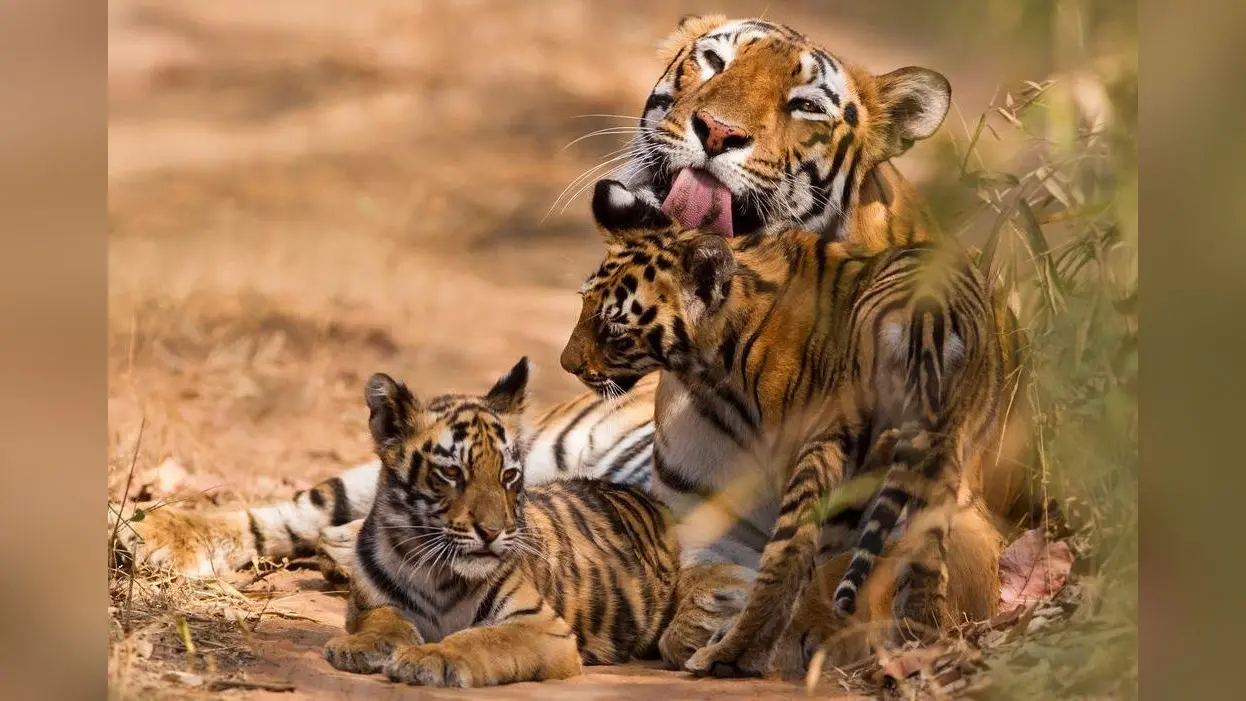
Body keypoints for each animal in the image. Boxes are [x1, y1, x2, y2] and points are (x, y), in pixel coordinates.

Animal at [323, 357, 680, 688]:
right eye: (452, 472)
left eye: (508, 475)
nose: (491, 532)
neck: (433, 572)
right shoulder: (368, 604)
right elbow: (383, 620)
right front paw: (358, 646)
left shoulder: (541, 626)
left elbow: (480, 639)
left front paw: (430, 657)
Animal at [559, 179, 1010, 677]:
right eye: (583, 304)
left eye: (615, 332)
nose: (566, 364)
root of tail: (927, 316)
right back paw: (916, 643)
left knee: (795, 559)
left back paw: (735, 654)